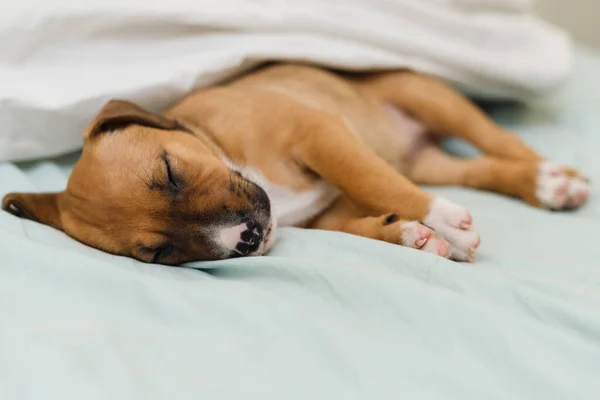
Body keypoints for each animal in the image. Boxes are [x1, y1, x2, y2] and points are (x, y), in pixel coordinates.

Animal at [1, 64, 592, 266]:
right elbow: (362, 221)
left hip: (426, 96)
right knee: (479, 169)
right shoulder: (325, 215)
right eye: (160, 253)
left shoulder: (320, 133)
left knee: (502, 139)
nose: (245, 239)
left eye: (170, 172)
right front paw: (414, 235)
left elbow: (370, 178)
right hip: (430, 162)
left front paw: (440, 220)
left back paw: (554, 181)